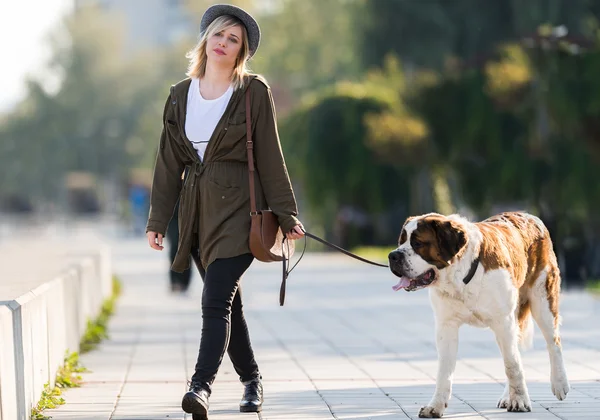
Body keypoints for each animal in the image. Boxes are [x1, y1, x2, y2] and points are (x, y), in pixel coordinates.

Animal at [390, 212, 572, 418]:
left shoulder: (503, 322)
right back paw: (507, 396)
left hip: (542, 301)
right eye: (401, 241)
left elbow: (512, 365)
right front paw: (435, 406)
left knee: (552, 343)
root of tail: (532, 217)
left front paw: (519, 400)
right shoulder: (446, 325)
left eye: (418, 243)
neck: (461, 277)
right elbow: (444, 371)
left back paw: (559, 383)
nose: (392, 255)